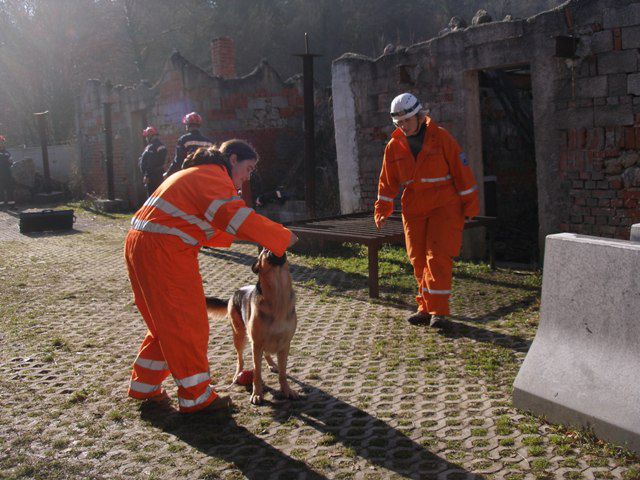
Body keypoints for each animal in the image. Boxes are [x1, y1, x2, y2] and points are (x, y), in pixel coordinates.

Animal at [209, 249, 302, 404]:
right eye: (265, 251)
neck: (278, 295)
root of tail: (234, 293)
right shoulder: (256, 344)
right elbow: (257, 373)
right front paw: (257, 393)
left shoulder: (284, 345)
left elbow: (283, 373)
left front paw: (287, 390)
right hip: (239, 336)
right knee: (240, 359)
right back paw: (237, 374)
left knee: (266, 354)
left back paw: (272, 364)